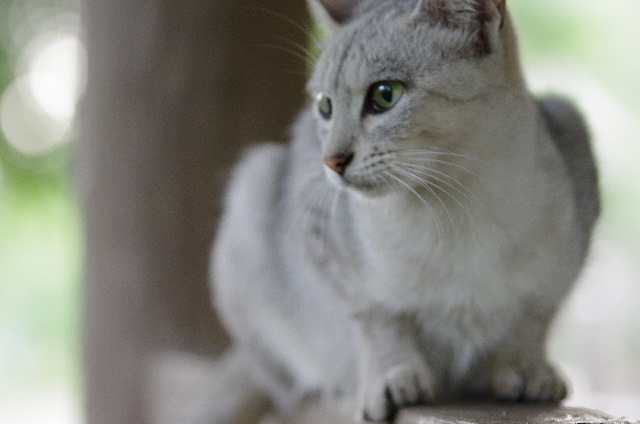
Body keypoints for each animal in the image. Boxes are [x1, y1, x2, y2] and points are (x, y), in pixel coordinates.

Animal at [185, 0, 600, 422]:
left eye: (385, 95)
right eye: (325, 105)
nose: (331, 161)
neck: (457, 207)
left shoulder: (556, 274)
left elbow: (529, 325)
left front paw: (526, 371)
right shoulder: (333, 254)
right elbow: (380, 323)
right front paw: (392, 379)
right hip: (251, 190)